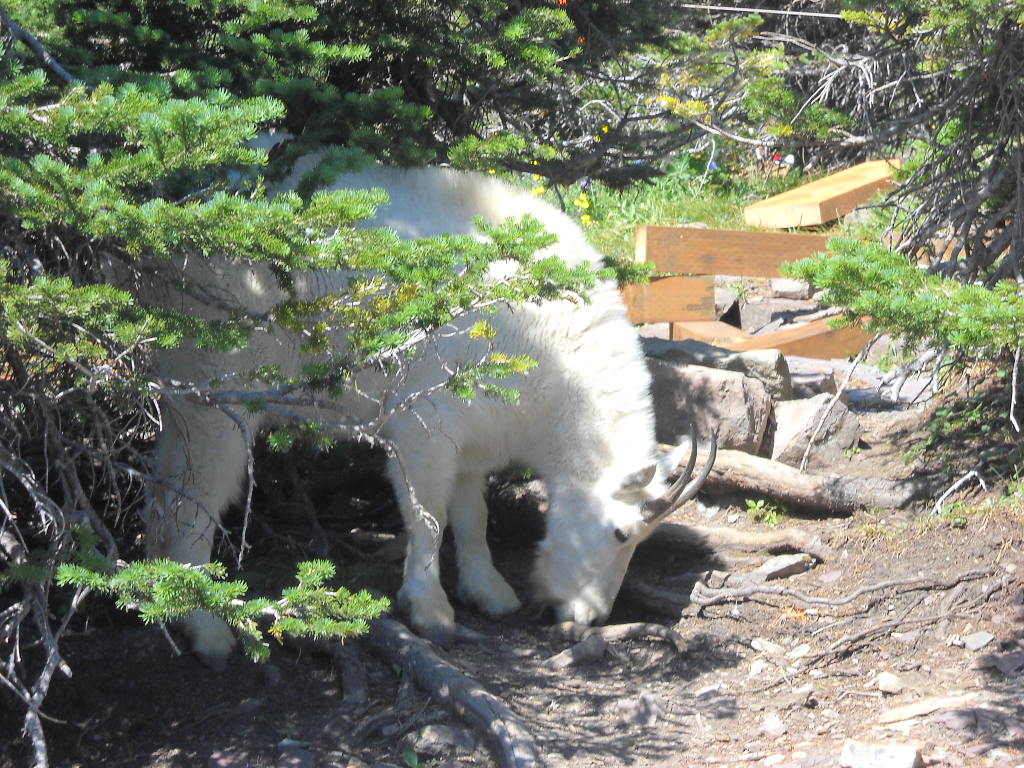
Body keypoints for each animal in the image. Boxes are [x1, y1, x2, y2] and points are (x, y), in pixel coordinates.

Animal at [136, 158, 716, 668]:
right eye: (620, 533)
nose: (590, 618)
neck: (552, 353)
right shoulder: (424, 428)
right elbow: (428, 516)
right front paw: (430, 611)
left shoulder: (475, 437)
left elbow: (473, 516)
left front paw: (490, 592)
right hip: (215, 392)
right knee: (196, 501)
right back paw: (207, 630)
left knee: (164, 491)